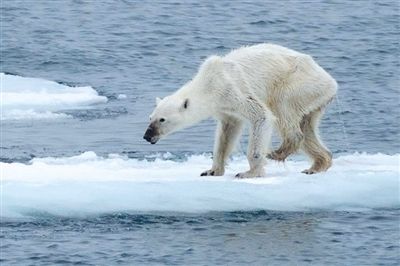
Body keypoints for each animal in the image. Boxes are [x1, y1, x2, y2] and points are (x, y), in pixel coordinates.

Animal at [144, 43, 338, 178]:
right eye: (150, 117)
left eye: (162, 119)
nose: (147, 136)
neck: (208, 83)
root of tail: (331, 81)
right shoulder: (224, 108)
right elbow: (227, 133)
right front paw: (212, 171)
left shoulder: (232, 90)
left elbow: (261, 116)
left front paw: (249, 173)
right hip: (314, 98)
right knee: (307, 127)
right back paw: (317, 165)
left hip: (298, 84)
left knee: (283, 109)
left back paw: (277, 152)